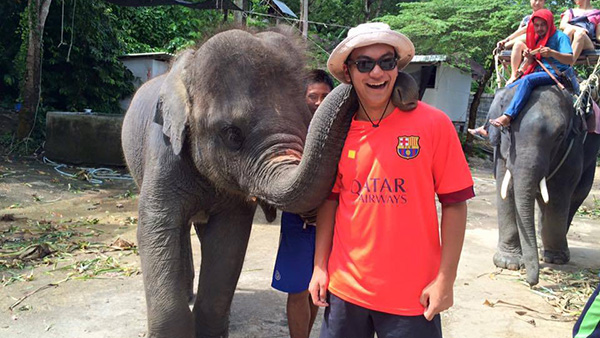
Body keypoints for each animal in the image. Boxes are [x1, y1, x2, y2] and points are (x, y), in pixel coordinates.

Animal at [122, 27, 418, 338]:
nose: (398, 81)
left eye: (305, 122)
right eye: (232, 134)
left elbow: (228, 238)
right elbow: (155, 227)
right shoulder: (163, 151)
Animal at [488, 84, 600, 286]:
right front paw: (508, 263)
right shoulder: (500, 149)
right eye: (506, 129)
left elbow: (558, 193)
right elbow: (505, 186)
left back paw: (550, 250)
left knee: (576, 196)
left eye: (560, 135)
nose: (532, 283)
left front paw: (555, 259)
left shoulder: (572, 149)